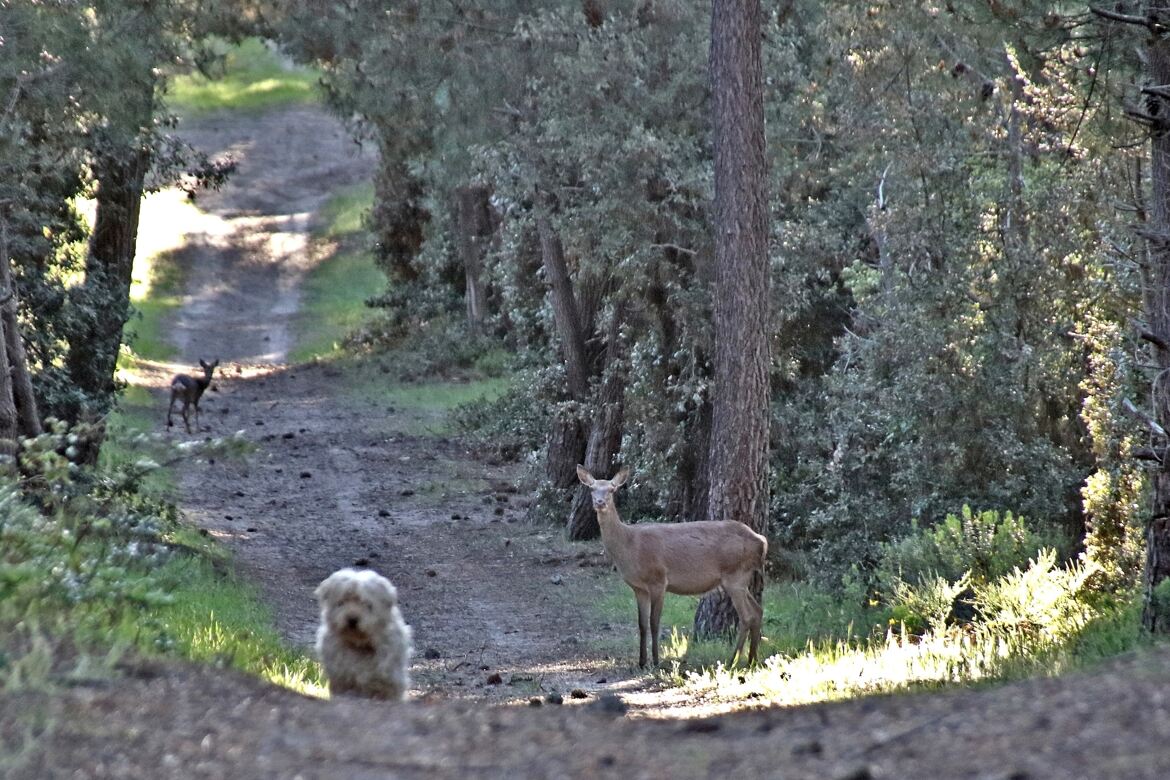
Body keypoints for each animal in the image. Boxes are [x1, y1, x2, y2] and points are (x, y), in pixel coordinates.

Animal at [315, 568, 411, 701]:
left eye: (366, 604)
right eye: (342, 602)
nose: (352, 619)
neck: (360, 645)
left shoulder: (388, 683)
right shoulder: (343, 682)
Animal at [575, 467, 767, 668]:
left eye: (612, 490)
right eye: (592, 489)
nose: (600, 502)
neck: (630, 546)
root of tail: (761, 541)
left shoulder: (658, 580)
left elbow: (654, 622)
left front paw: (655, 661)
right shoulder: (639, 588)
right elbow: (642, 624)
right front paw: (641, 662)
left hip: (735, 574)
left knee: (747, 616)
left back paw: (733, 661)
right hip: (741, 577)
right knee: (758, 611)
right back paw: (752, 660)